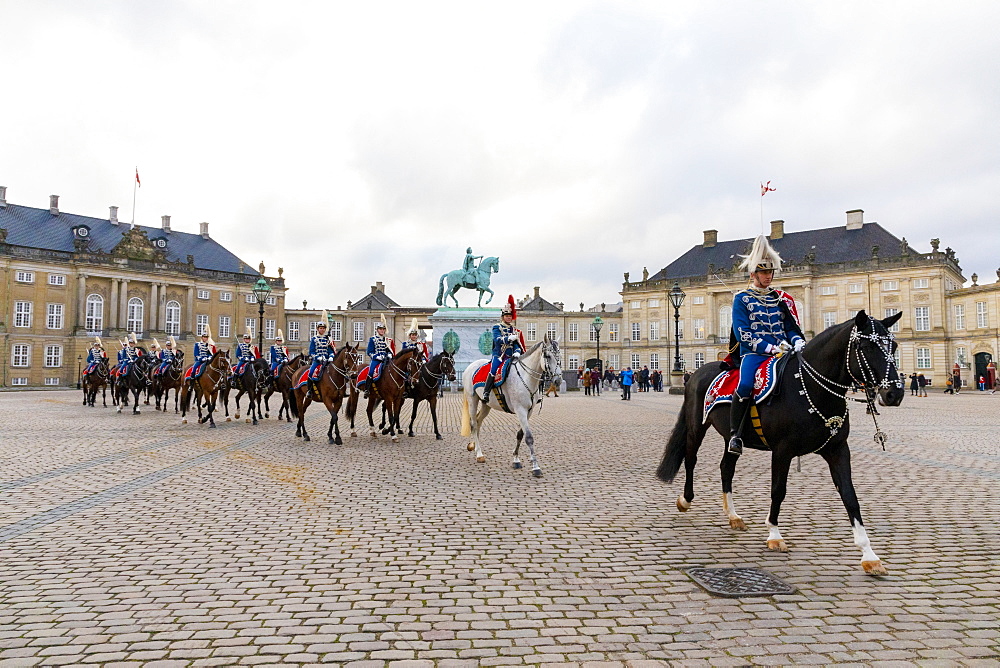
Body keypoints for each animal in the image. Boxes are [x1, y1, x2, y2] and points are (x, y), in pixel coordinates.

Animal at [460, 340, 564, 474]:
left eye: (559, 356)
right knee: (473, 424)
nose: (558, 380)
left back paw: (475, 447)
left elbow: (520, 434)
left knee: (478, 422)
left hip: (486, 404)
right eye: (548, 356)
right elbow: (529, 437)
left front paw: (516, 460)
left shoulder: (529, 411)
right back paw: (479, 454)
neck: (526, 377)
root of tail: (471, 366)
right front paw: (536, 467)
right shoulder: (520, 410)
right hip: (472, 400)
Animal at [656, 310, 908, 576]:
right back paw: (685, 500)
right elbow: (778, 490)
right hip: (697, 427)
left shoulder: (838, 450)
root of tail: (696, 373)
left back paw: (733, 516)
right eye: (866, 346)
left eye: (894, 347)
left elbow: (850, 496)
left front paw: (869, 555)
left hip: (732, 437)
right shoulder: (782, 450)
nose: (895, 394)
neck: (810, 387)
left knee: (726, 467)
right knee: (690, 458)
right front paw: (774, 534)